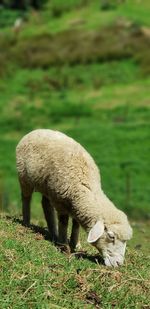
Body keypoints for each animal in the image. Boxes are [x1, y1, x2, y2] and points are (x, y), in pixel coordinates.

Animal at [15, 129, 132, 266]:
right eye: (111, 236)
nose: (119, 264)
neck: (85, 184)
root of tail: (36, 130)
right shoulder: (60, 200)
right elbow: (64, 222)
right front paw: (64, 246)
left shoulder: (77, 204)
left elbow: (76, 224)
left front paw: (75, 244)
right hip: (24, 176)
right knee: (26, 198)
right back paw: (27, 223)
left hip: (47, 186)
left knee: (45, 204)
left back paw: (53, 232)